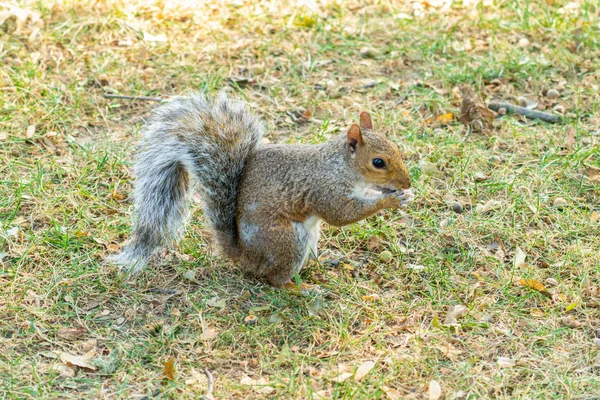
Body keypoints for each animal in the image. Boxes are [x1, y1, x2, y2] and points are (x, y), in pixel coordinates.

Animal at [110, 93, 414, 288]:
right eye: (378, 162)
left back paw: (325, 261)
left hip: (309, 236)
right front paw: (388, 201)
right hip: (288, 240)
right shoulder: (324, 188)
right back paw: (299, 288)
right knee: (274, 279)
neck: (340, 166)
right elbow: (341, 214)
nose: (408, 183)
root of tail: (246, 257)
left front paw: (401, 197)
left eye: (396, 147)